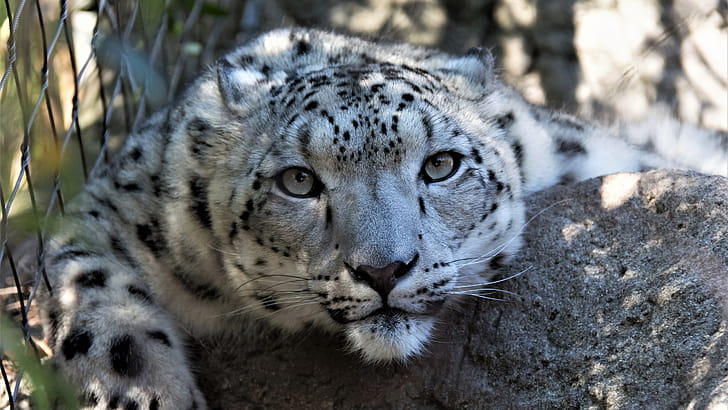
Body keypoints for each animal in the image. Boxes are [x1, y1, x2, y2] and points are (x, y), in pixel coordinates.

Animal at [40, 27, 728, 409]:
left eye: (441, 165)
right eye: (298, 181)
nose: (383, 270)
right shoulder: (112, 208)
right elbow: (94, 300)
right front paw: (139, 395)